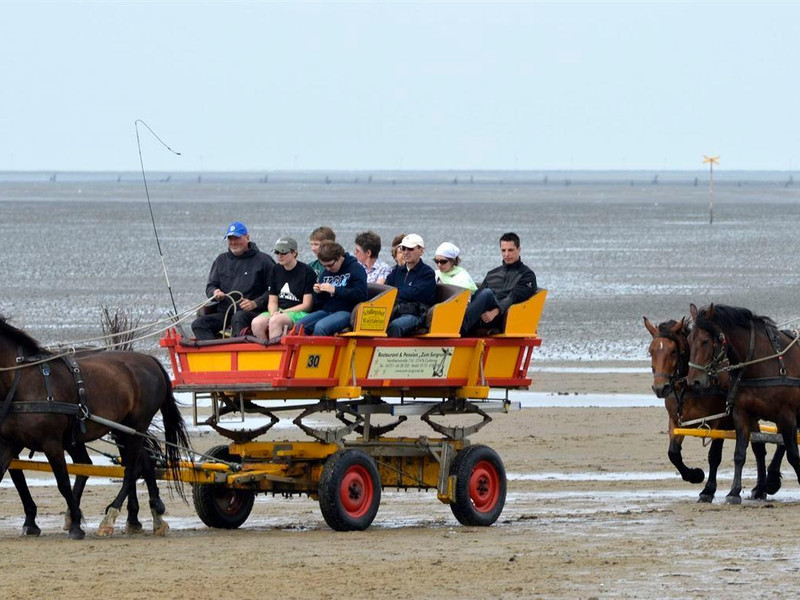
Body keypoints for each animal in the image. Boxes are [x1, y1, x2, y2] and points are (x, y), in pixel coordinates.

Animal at [0, 316, 189, 536]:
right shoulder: (10, 442)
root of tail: (149, 360)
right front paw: (35, 521)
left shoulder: (51, 443)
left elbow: (62, 482)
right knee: (142, 463)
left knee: (131, 469)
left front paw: (75, 523)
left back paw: (111, 516)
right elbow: (12, 475)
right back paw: (150, 516)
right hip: (122, 429)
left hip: (136, 426)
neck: (23, 382)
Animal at [644, 316, 780, 504]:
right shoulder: (675, 421)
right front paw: (694, 475)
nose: (660, 388)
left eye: (673, 351)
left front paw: (708, 489)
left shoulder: (719, 421)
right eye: (651, 351)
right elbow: (673, 453)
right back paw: (760, 489)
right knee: (759, 449)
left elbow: (714, 456)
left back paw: (771, 481)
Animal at [684, 304, 800, 502]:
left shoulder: (787, 415)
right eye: (690, 340)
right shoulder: (743, 414)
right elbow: (740, 453)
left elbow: (792, 454)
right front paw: (734, 491)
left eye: (705, 341)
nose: (694, 382)